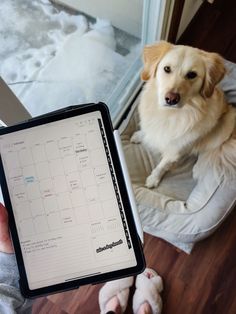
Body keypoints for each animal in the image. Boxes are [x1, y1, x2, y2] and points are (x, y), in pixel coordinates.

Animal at [131, 40, 236, 188]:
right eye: (167, 69)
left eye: (192, 74)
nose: (171, 99)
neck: (168, 114)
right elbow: (148, 132)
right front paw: (140, 135)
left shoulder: (175, 150)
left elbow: (162, 166)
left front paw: (154, 178)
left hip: (229, 120)